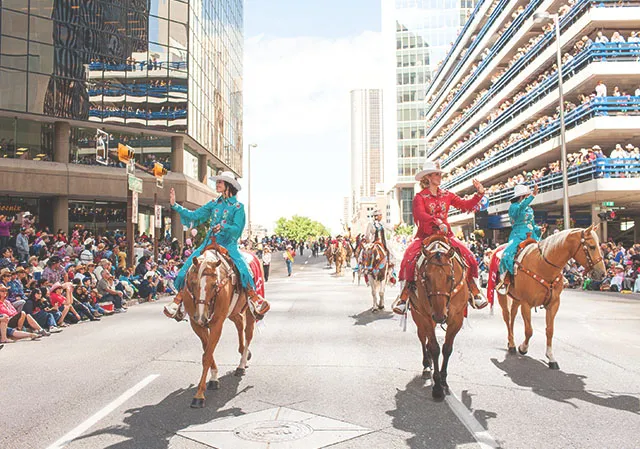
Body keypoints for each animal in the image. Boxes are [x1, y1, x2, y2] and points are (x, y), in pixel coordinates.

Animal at [180, 245, 258, 406]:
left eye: (214, 285)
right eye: (193, 282)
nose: (201, 316)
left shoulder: (217, 324)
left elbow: (207, 356)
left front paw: (199, 395)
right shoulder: (196, 325)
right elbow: (207, 351)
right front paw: (214, 378)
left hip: (249, 309)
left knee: (248, 332)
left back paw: (241, 364)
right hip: (233, 311)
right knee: (239, 323)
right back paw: (244, 353)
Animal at [408, 234, 468, 400]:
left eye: (450, 277)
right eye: (426, 278)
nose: (440, 316)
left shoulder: (457, 319)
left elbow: (447, 348)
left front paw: (443, 380)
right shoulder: (427, 317)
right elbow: (435, 348)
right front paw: (437, 388)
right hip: (418, 317)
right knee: (423, 339)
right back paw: (426, 365)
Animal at [490, 224, 604, 368]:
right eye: (592, 246)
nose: (602, 273)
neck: (543, 266)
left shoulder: (553, 303)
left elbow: (550, 330)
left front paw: (551, 357)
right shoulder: (526, 304)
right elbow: (529, 330)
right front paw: (523, 348)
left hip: (516, 298)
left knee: (513, 315)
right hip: (502, 296)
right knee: (507, 317)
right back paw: (511, 344)